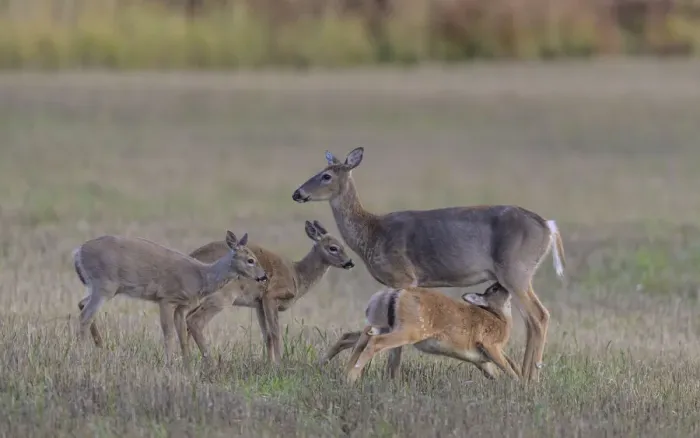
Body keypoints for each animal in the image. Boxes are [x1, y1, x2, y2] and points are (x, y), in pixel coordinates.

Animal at [73, 230, 267, 368]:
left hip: (105, 287)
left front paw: (187, 366)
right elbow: (169, 333)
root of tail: (78, 251)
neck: (201, 276)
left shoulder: (182, 306)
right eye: (250, 260)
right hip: (104, 284)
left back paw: (101, 347)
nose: (263, 276)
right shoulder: (166, 298)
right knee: (85, 316)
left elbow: (182, 335)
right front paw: (169, 364)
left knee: (82, 304)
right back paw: (81, 357)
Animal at [185, 220, 355, 365]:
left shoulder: (259, 303)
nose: (350, 262)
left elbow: (266, 335)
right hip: (222, 295)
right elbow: (275, 332)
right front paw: (278, 364)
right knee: (195, 321)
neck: (297, 275)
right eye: (333, 247)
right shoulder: (271, 296)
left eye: (343, 245)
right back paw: (210, 363)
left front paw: (269, 363)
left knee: (186, 320)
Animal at [322, 282, 521, 383]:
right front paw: (521, 389)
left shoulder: (480, 359)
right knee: (374, 342)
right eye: (494, 288)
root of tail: (395, 293)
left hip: (383, 324)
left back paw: (327, 366)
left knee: (352, 336)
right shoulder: (489, 344)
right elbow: (510, 370)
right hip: (410, 330)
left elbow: (500, 372)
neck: (501, 321)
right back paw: (351, 378)